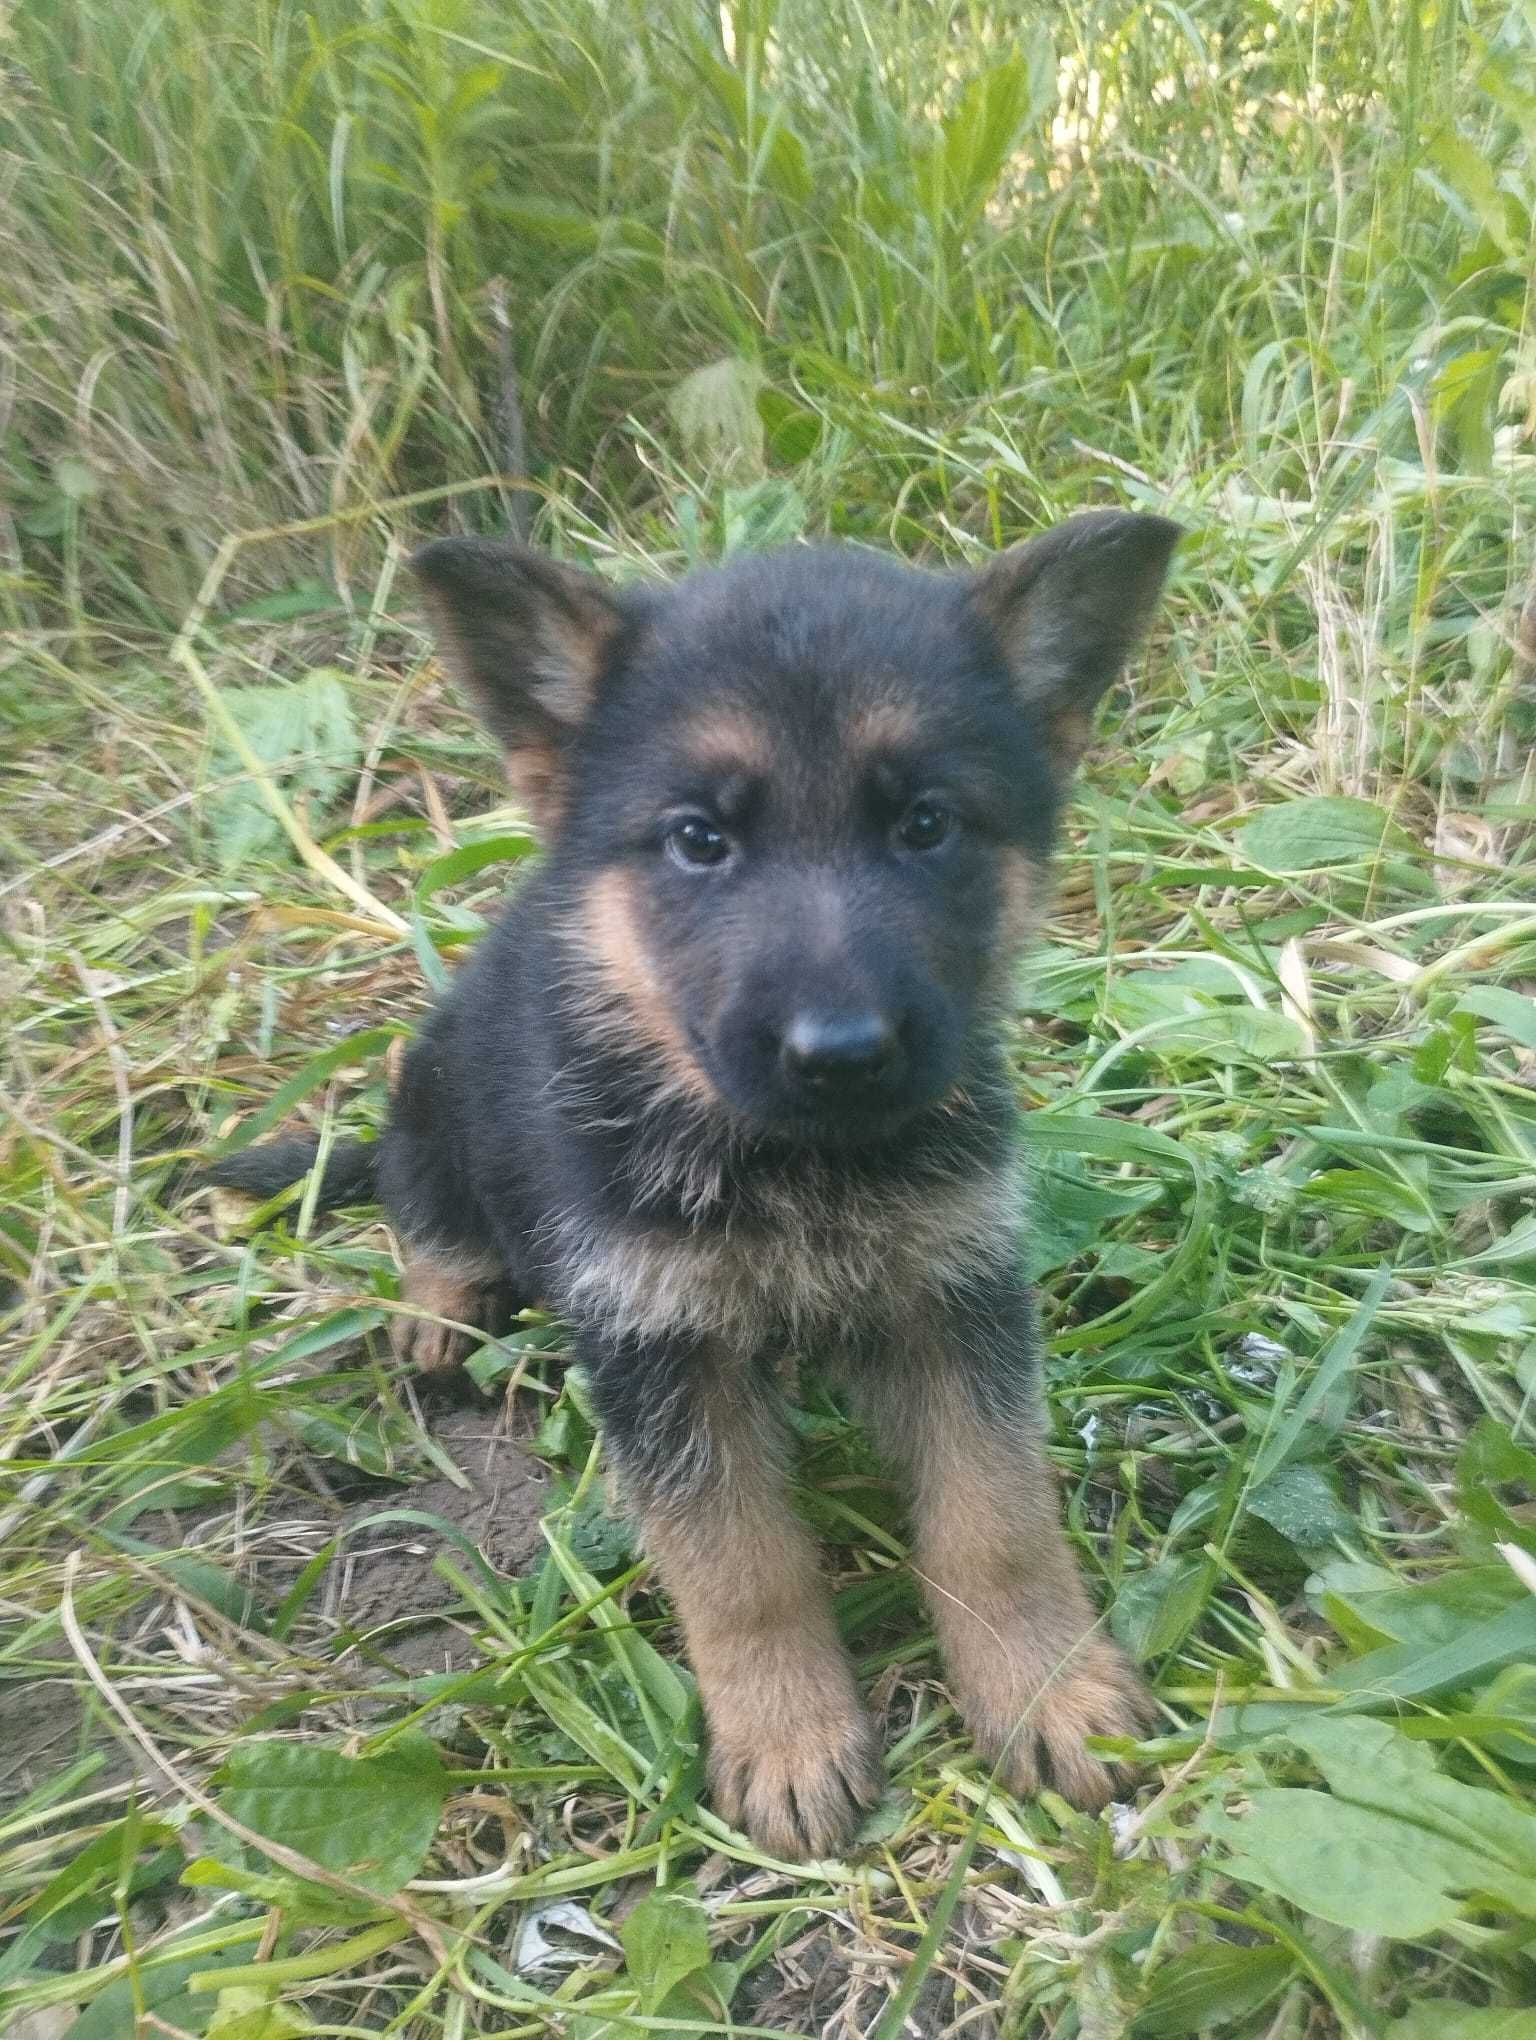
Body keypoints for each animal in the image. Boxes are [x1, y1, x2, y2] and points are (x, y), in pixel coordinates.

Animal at [210, 514, 1183, 1868]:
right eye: (699, 840)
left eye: (926, 825)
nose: (842, 1054)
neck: (791, 1160)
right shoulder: (658, 1353)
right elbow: (742, 1569)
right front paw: (788, 1736)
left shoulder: (957, 1300)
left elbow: (996, 1521)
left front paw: (1047, 1689)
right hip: (432, 1091)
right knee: (426, 1209)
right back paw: (439, 1305)